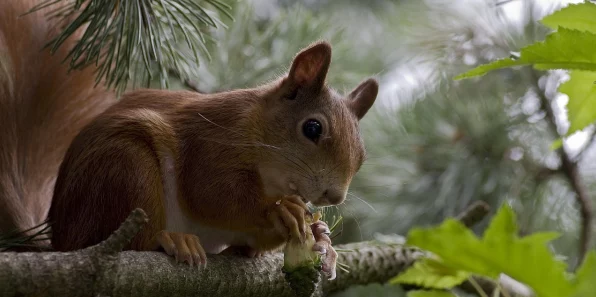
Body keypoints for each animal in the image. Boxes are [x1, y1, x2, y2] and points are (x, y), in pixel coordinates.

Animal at [1, 0, 378, 280]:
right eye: (312, 128)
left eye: (362, 155)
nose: (334, 196)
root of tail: (61, 241)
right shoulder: (210, 144)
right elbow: (211, 194)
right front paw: (280, 210)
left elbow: (253, 242)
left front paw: (321, 237)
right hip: (125, 167)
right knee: (128, 238)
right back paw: (173, 240)